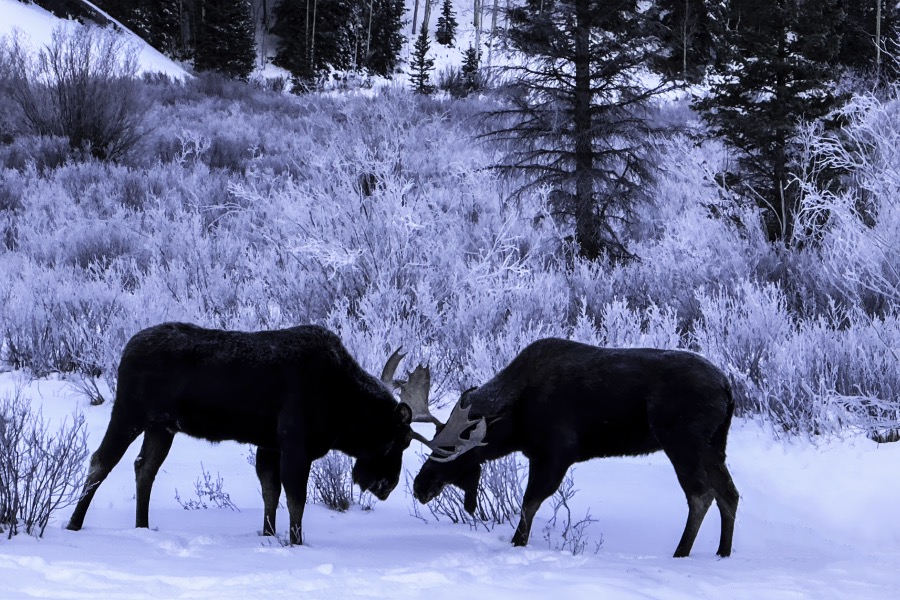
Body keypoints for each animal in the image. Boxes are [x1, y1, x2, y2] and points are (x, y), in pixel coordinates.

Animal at [66, 322, 424, 545]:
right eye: (399, 441)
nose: (387, 485)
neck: (344, 406)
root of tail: (125, 350)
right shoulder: (295, 445)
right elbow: (295, 501)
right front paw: (296, 543)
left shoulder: (270, 446)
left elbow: (271, 494)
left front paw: (268, 535)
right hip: (130, 412)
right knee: (101, 461)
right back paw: (73, 524)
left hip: (161, 427)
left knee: (144, 468)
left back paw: (142, 526)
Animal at [408, 338, 739, 558]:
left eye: (452, 449)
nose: (420, 485)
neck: (515, 421)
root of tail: (727, 387)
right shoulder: (537, 455)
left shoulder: (557, 454)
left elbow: (529, 503)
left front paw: (518, 544)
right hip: (715, 444)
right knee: (728, 493)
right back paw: (722, 552)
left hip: (682, 441)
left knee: (701, 494)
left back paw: (681, 552)